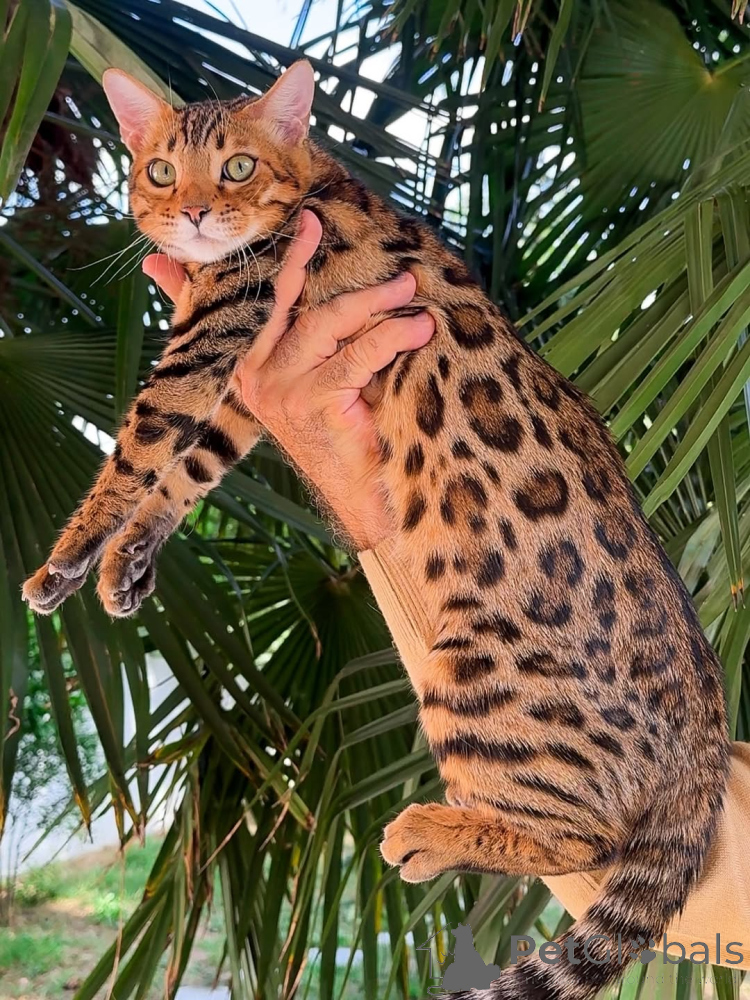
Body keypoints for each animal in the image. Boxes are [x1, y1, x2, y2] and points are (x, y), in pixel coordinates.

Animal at [23, 61, 729, 1000]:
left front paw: (65, 559)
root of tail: (705, 727)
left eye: (238, 168)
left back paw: (430, 833)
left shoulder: (219, 334)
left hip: (472, 671)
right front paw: (126, 562)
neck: (311, 186)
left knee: (589, 840)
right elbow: (192, 465)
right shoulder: (249, 377)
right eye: (162, 172)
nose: (198, 214)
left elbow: (138, 451)